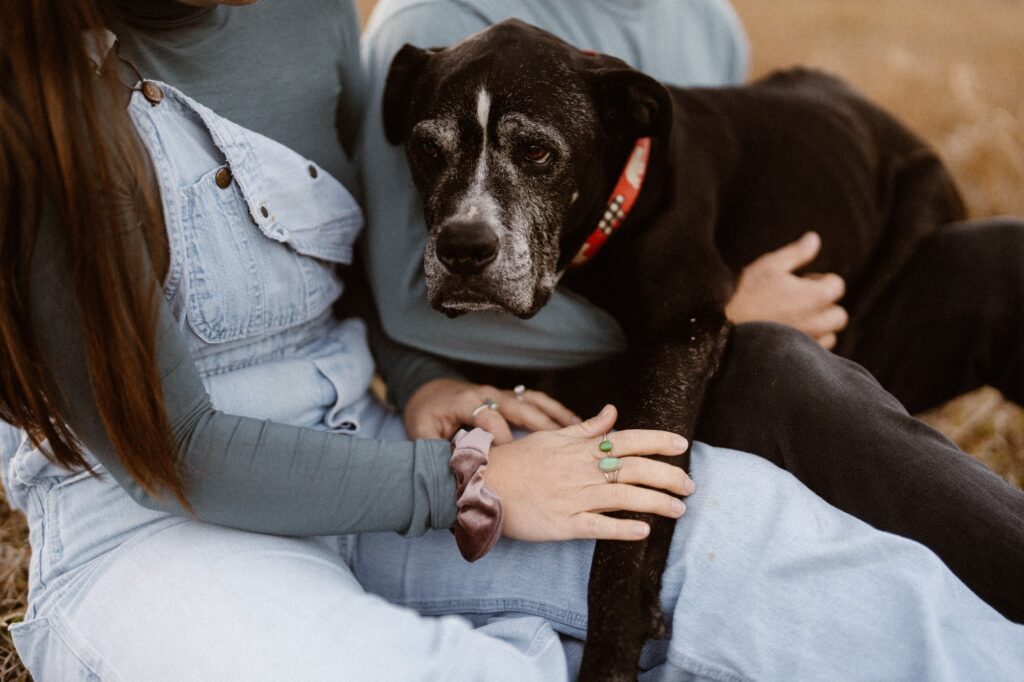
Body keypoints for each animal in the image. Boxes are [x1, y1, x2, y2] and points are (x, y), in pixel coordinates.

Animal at [380, 19, 962, 679]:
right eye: (427, 151)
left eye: (536, 152)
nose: (463, 248)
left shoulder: (680, 332)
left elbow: (627, 525)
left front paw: (610, 652)